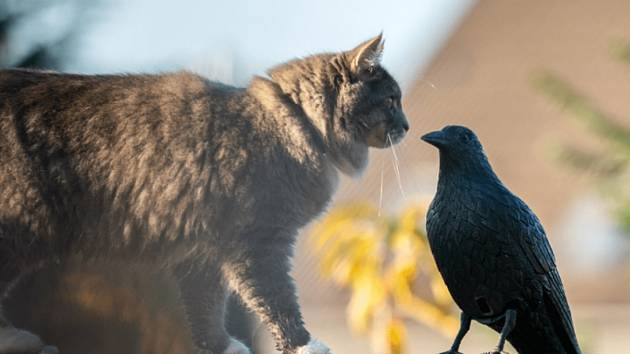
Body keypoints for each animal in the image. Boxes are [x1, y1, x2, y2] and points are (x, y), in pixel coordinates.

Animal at [0, 35, 410, 354]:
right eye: (391, 100)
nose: (406, 126)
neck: (294, 123)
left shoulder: (202, 251)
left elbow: (206, 308)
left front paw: (222, 346)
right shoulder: (256, 242)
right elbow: (277, 300)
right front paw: (303, 344)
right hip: (25, 228)